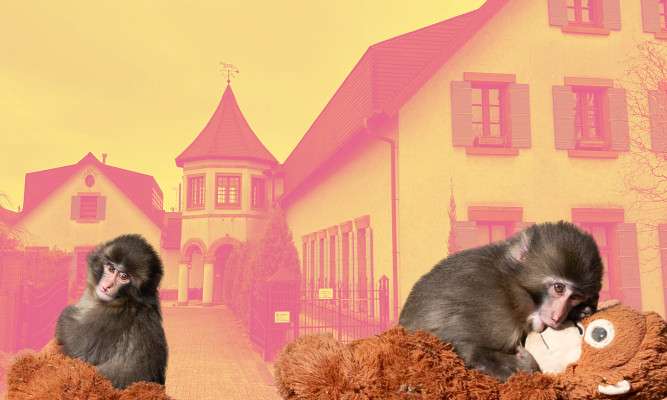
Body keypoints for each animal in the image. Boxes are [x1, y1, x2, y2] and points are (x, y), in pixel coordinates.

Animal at [55, 234, 168, 389]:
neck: (125, 301)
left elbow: (77, 349)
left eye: (124, 276)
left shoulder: (107, 320)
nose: (107, 286)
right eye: (111, 268)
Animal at [399, 221, 602, 381]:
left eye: (575, 297)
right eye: (559, 288)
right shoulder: (492, 310)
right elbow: (459, 348)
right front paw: (525, 366)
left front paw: (580, 311)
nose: (558, 316)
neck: (511, 290)